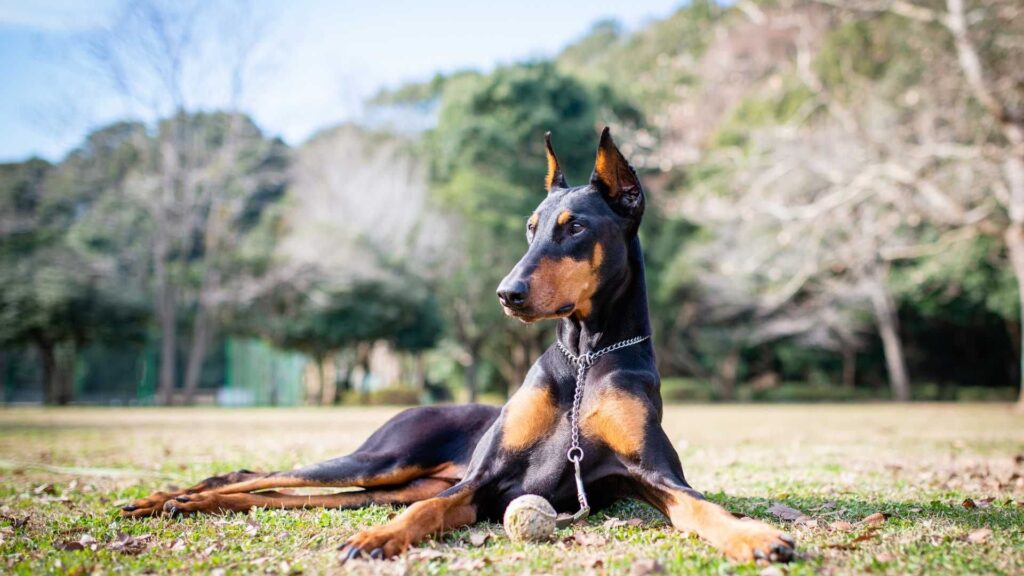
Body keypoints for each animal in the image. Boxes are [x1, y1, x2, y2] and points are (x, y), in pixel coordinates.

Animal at [123, 129, 794, 561]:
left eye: (574, 227)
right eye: (530, 228)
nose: (507, 293)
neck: (585, 360)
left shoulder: (652, 474)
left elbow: (705, 508)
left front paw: (755, 536)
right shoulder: (482, 481)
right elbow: (419, 517)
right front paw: (377, 540)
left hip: (396, 478)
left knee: (302, 494)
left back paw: (178, 504)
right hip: (389, 458)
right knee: (259, 474)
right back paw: (164, 498)